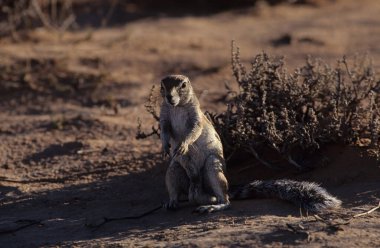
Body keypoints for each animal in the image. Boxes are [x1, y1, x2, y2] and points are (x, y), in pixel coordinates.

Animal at [158, 74, 342, 213]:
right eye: (162, 86)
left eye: (183, 85)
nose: (169, 97)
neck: (176, 107)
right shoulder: (164, 116)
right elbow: (165, 131)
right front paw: (166, 147)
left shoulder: (196, 117)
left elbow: (193, 131)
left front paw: (183, 144)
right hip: (174, 170)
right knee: (181, 187)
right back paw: (172, 203)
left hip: (213, 167)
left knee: (224, 199)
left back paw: (213, 206)